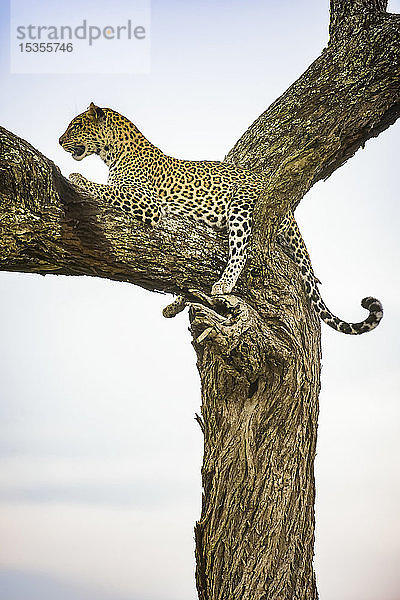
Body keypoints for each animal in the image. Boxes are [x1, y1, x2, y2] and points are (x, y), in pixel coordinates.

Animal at [59, 105, 384, 336]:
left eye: (75, 125)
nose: (59, 140)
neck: (113, 152)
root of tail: (290, 212)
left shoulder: (148, 203)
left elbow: (108, 190)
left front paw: (78, 178)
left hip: (240, 207)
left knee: (241, 251)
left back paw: (222, 285)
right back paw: (176, 303)